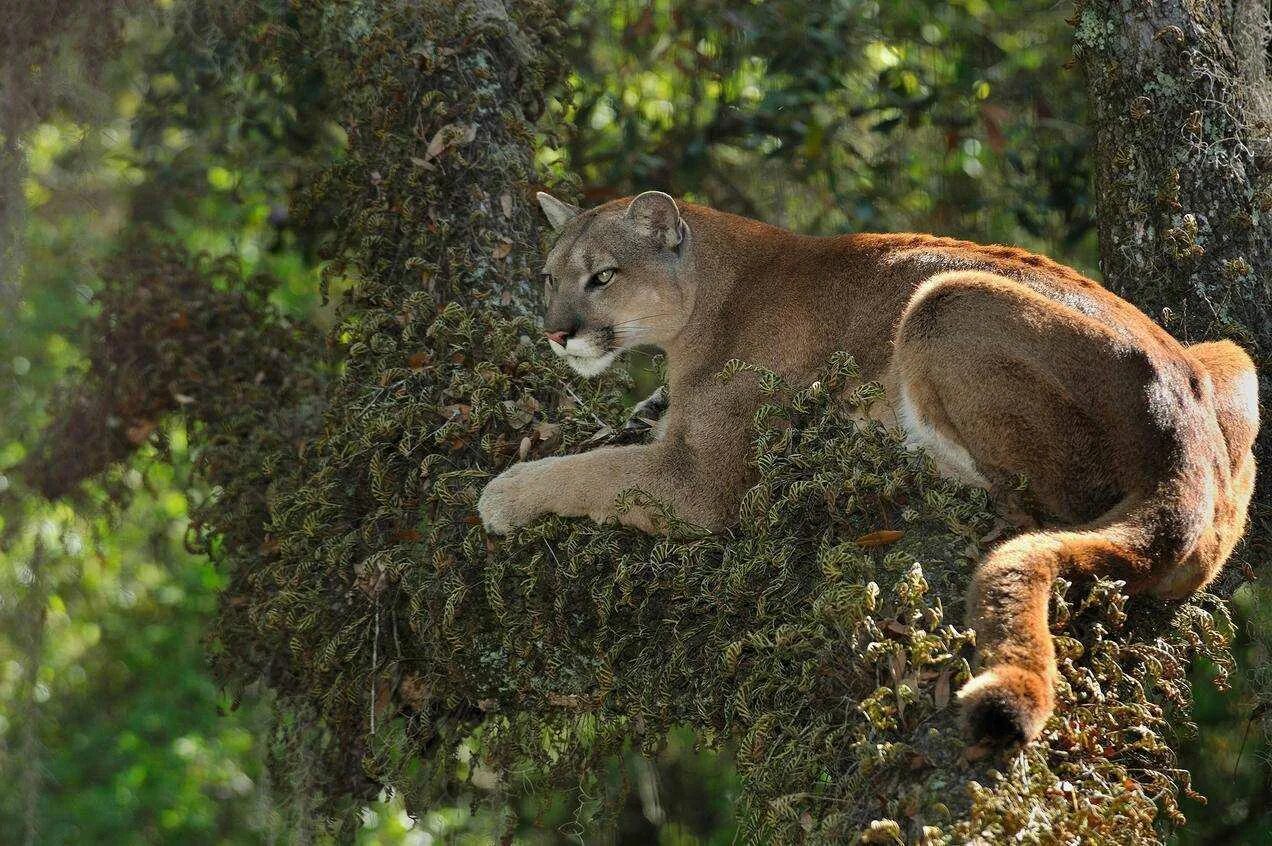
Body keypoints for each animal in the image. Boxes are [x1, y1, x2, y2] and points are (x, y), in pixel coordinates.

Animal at [478, 188, 1261, 742]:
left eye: (601, 278)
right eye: (547, 278)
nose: (555, 333)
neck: (709, 286)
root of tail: (1189, 456)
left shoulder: (697, 481)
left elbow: (592, 469)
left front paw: (502, 494)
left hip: (947, 300)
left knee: (1026, 504)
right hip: (1232, 359)